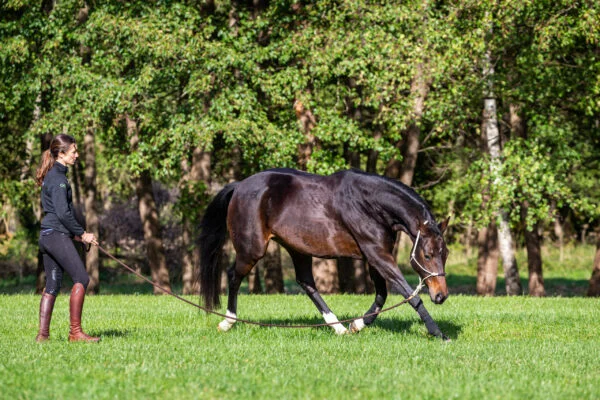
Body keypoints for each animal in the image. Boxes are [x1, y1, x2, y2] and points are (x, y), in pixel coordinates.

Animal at [199, 167, 448, 340]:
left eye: (444, 254)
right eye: (427, 255)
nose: (441, 296)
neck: (368, 203)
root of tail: (239, 186)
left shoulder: (374, 257)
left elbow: (381, 296)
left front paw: (357, 325)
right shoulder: (377, 254)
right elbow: (410, 295)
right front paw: (438, 333)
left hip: (297, 249)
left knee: (307, 283)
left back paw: (338, 326)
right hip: (252, 249)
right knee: (233, 276)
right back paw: (228, 322)